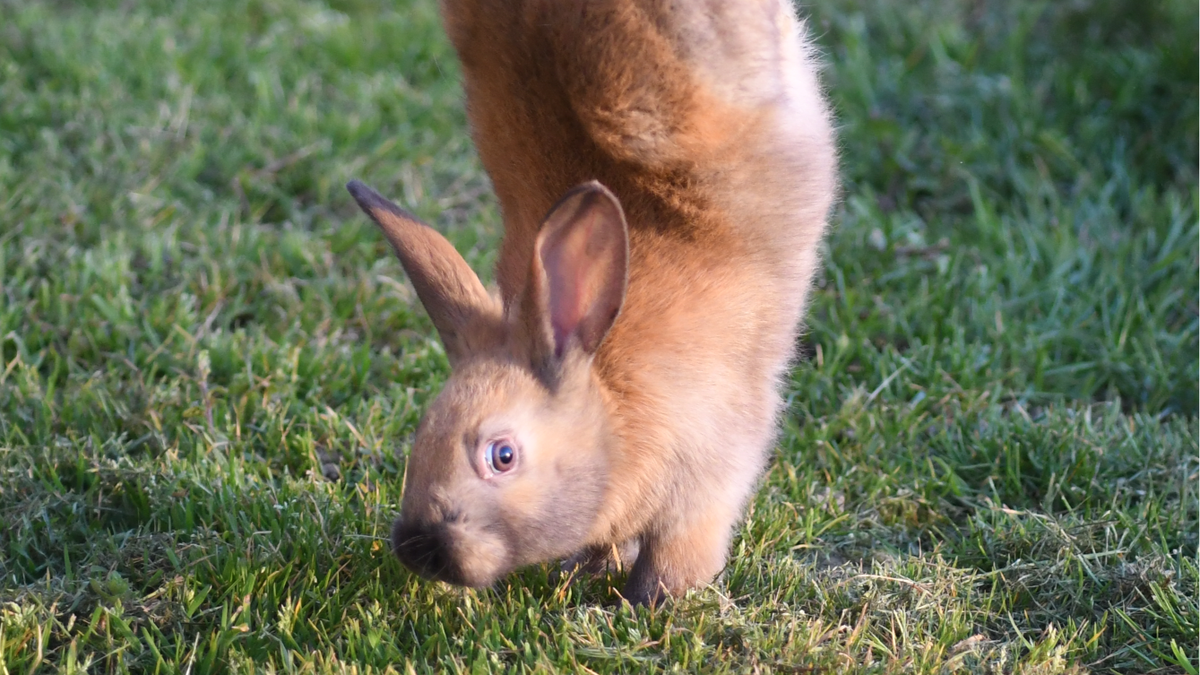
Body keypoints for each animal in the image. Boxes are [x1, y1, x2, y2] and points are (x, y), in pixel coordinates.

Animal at [345, 0, 835, 605]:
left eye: (502, 456)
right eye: (422, 432)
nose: (418, 551)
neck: (614, 415)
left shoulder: (706, 485)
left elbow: (677, 556)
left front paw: (651, 602)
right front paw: (592, 571)